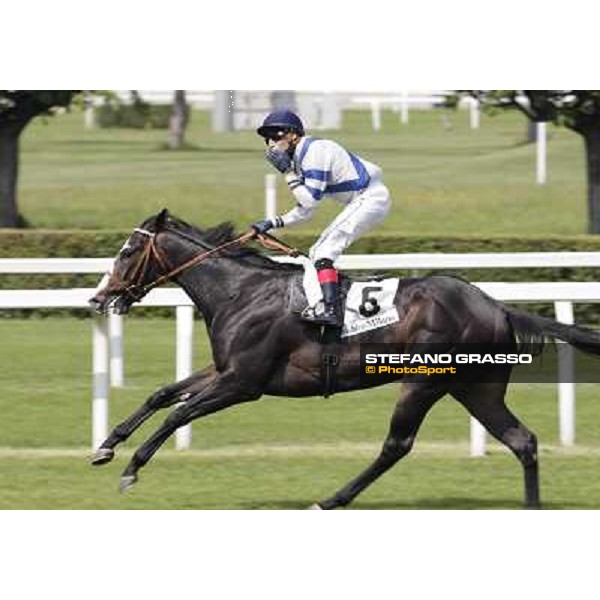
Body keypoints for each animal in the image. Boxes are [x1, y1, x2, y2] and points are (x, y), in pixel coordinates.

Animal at [89, 209, 600, 508]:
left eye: (128, 251)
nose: (99, 298)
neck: (240, 291)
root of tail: (496, 305)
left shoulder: (242, 383)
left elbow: (178, 413)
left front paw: (131, 469)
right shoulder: (225, 369)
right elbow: (162, 395)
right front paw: (105, 446)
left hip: (426, 380)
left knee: (397, 445)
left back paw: (332, 499)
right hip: (476, 387)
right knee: (522, 441)